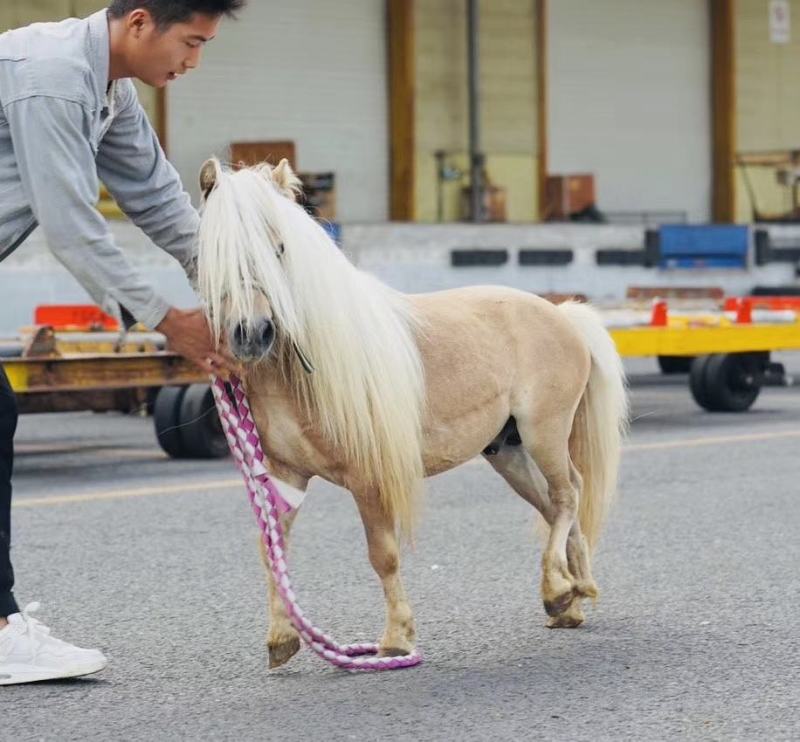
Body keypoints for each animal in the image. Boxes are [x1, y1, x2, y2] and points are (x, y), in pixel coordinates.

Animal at [196, 157, 629, 669]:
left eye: (280, 247)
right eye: (212, 252)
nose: (252, 332)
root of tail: (562, 315)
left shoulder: (369, 478)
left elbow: (382, 555)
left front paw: (397, 639)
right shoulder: (286, 475)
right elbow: (273, 551)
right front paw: (282, 637)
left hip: (545, 434)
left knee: (567, 495)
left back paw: (557, 591)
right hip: (508, 452)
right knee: (555, 504)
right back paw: (573, 596)